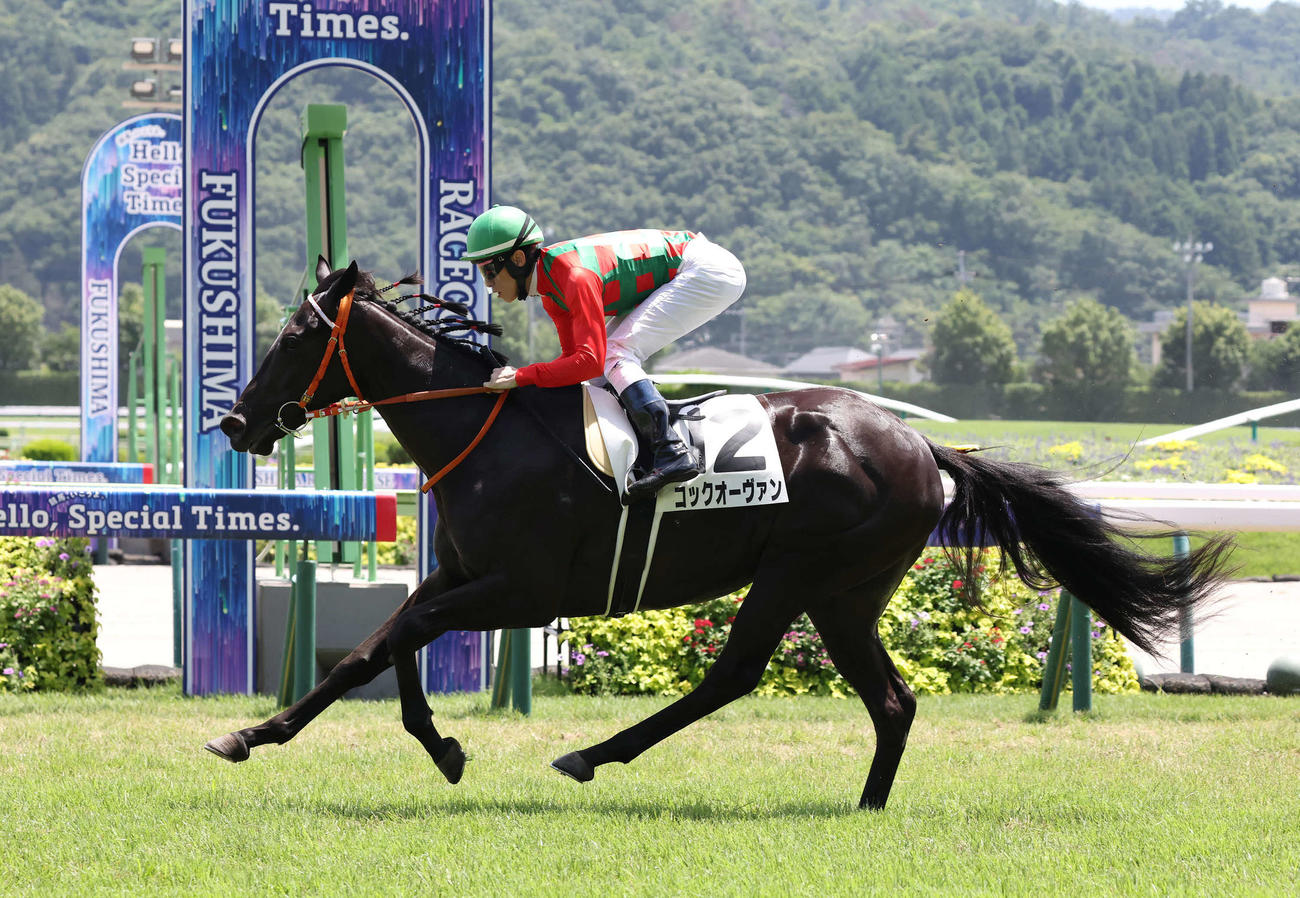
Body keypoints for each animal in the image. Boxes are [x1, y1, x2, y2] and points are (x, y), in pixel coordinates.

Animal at [208, 258, 1233, 810]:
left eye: (294, 338)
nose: (236, 421)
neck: (486, 430)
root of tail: (917, 443)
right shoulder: (460, 576)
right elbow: (383, 646)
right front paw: (423, 745)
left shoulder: (523, 591)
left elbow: (391, 642)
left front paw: (265, 736)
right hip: (847, 595)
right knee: (892, 700)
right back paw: (866, 804)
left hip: (802, 572)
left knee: (735, 673)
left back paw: (592, 754)